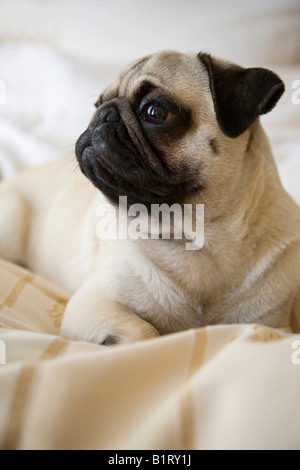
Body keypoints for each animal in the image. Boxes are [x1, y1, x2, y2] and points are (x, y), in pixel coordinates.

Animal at [0, 52, 300, 346]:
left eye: (155, 112)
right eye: (97, 103)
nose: (102, 114)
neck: (199, 236)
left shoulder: (272, 324)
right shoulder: (92, 303)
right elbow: (145, 335)